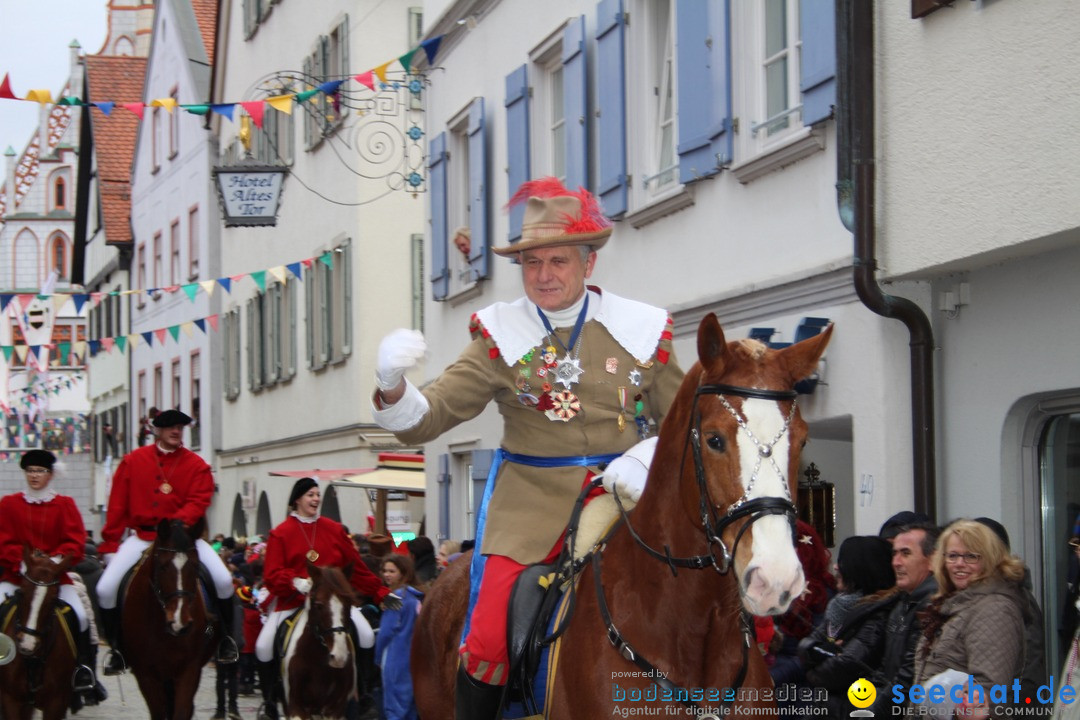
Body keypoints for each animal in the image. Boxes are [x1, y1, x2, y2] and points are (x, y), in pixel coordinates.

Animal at [0, 546, 78, 720]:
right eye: (22, 592)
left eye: (53, 599)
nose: (27, 644)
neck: (33, 660)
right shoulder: (10, 700)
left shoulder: (57, 704)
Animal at [121, 520, 220, 716]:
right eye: (162, 567)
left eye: (195, 566)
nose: (179, 623)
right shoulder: (145, 674)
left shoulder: (189, 670)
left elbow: (181, 711)